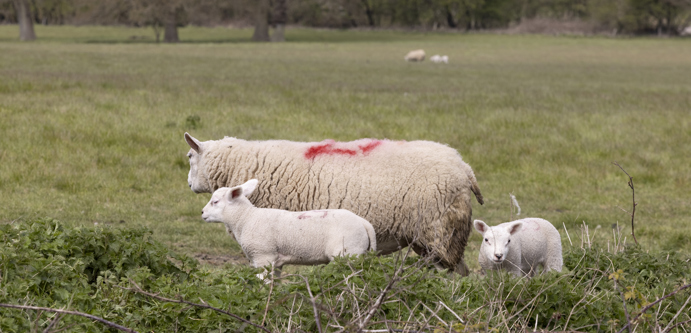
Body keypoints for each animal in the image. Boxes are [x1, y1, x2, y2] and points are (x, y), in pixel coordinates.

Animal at [201, 180, 378, 274]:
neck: (246, 219)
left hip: (347, 253)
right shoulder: (276, 261)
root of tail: (364, 223)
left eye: (215, 201)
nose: (202, 213)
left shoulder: (263, 256)